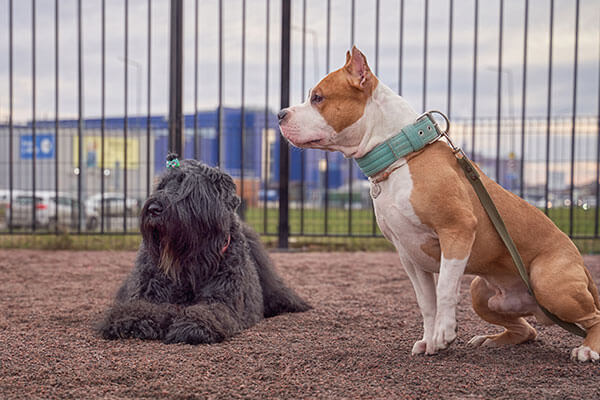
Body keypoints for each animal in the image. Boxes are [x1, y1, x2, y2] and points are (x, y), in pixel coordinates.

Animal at [96, 155, 312, 346]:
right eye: (161, 185)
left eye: (188, 187)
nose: (153, 208)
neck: (188, 263)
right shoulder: (147, 294)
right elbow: (138, 308)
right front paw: (131, 321)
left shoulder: (222, 300)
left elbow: (208, 311)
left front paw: (192, 325)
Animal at [278, 47, 600, 362]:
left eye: (318, 98)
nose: (280, 113)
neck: (400, 155)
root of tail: (580, 264)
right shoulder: (408, 253)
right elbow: (426, 301)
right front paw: (429, 339)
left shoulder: (457, 230)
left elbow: (445, 287)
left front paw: (444, 333)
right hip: (482, 293)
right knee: (528, 330)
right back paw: (493, 340)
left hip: (548, 283)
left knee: (594, 317)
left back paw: (588, 349)